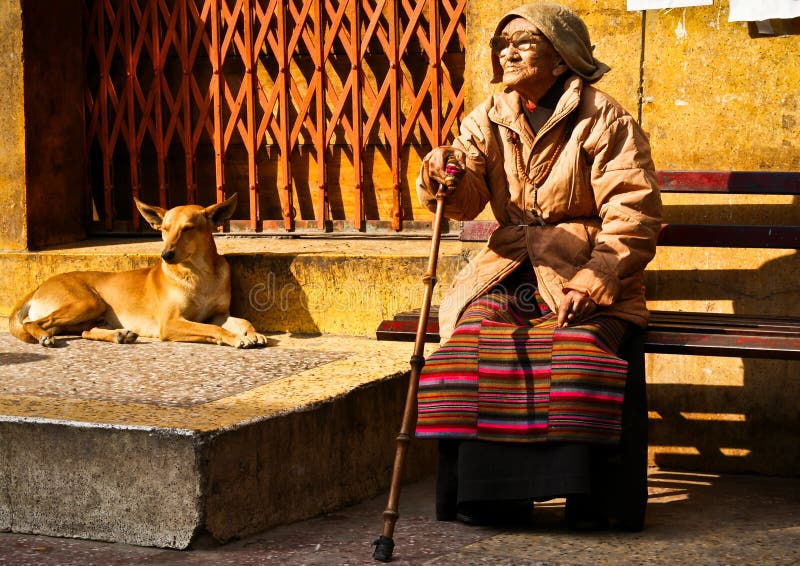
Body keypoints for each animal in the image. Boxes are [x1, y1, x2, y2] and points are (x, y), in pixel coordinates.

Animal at [9, 194, 268, 350]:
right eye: (164, 229)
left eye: (187, 229)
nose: (166, 255)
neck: (199, 274)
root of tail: (39, 287)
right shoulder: (170, 323)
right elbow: (212, 329)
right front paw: (236, 338)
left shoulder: (218, 314)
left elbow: (241, 320)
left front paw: (252, 333)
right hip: (87, 302)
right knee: (34, 322)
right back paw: (43, 335)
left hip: (90, 312)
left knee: (83, 331)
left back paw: (119, 335)